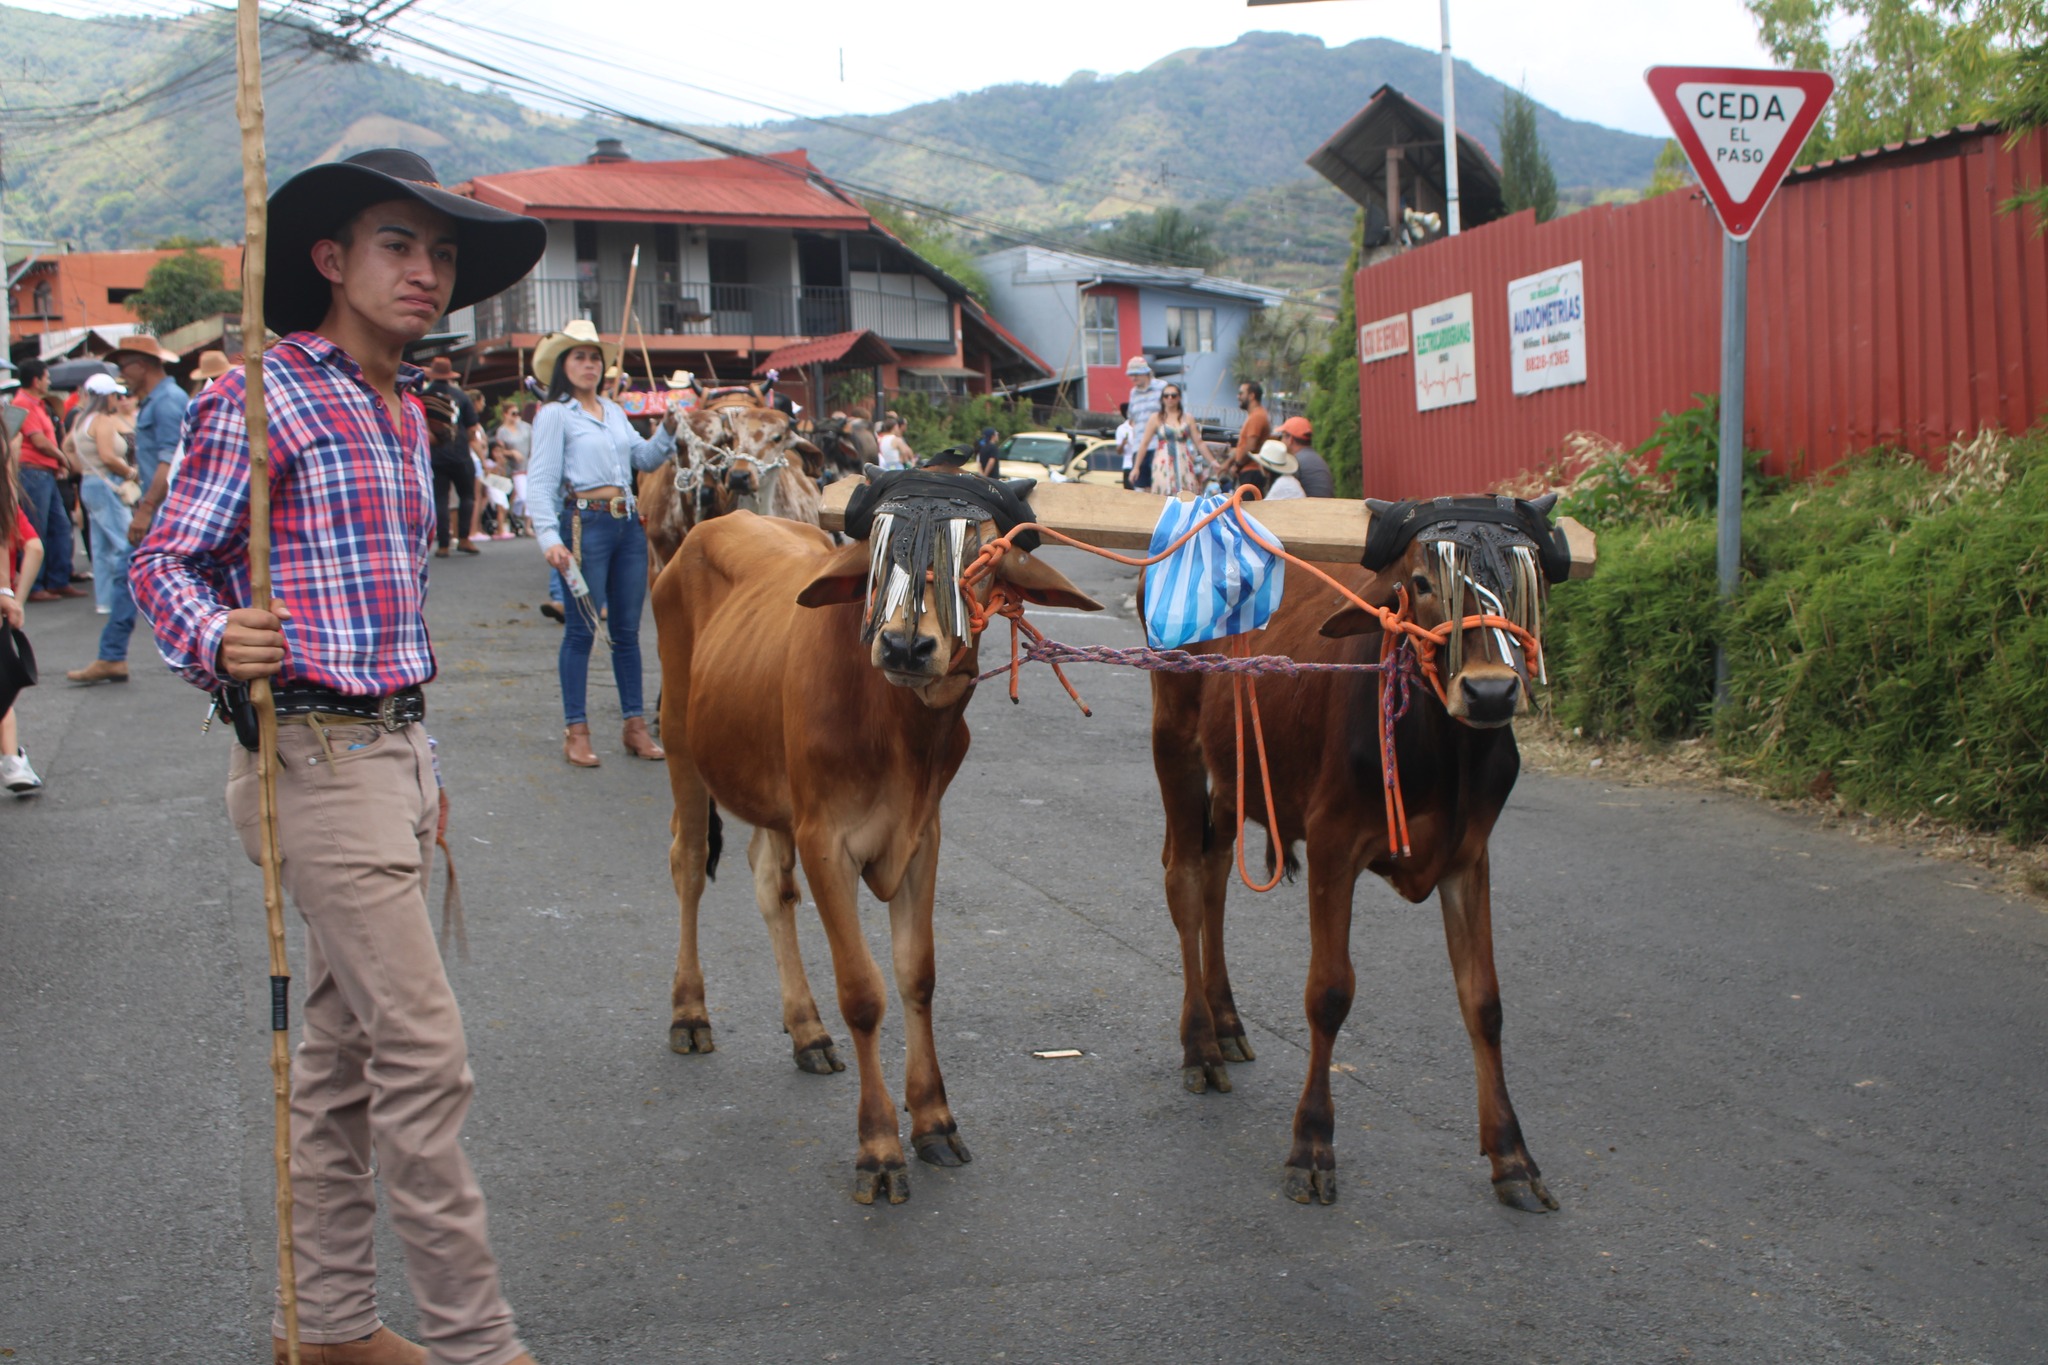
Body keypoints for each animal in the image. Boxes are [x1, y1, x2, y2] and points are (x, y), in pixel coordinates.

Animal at [653, 469, 1102, 1204]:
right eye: (881, 558)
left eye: (979, 561)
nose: (905, 646)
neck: (900, 730)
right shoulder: (825, 841)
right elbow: (864, 993)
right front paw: (880, 1147)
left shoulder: (921, 837)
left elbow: (918, 976)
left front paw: (934, 1120)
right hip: (683, 744)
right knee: (690, 864)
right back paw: (689, 1013)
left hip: (769, 790)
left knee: (767, 882)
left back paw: (806, 1030)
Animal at [1147, 494, 1568, 1213]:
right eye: (1422, 582)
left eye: (1528, 579)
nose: (1490, 692)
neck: (1445, 752)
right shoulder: (1333, 844)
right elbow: (1329, 992)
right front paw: (1312, 1145)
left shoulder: (1469, 858)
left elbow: (1484, 1002)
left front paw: (1513, 1156)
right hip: (1174, 741)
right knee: (1183, 880)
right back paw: (1200, 1044)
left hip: (1234, 775)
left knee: (1214, 879)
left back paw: (1227, 1022)